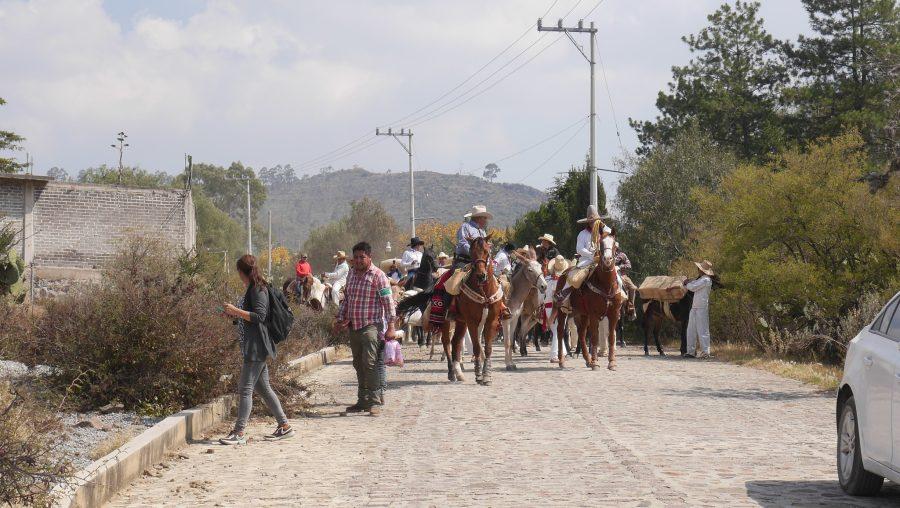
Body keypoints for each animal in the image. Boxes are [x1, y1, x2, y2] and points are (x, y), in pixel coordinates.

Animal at [444, 237, 506, 384]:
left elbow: (488, 348)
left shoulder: (491, 321)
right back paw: (451, 373)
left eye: (487, 251)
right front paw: (478, 374)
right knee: (447, 343)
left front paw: (487, 375)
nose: (481, 275)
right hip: (446, 321)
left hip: (461, 322)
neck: (484, 292)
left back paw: (459, 373)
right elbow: (477, 347)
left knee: (456, 342)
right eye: (471, 252)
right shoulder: (472, 322)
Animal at [568, 232, 624, 372]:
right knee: (580, 335)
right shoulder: (594, 315)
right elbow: (594, 337)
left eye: (614, 245)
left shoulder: (614, 314)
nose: (608, 259)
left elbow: (611, 337)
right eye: (601, 244)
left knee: (582, 334)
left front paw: (612, 363)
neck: (606, 285)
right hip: (576, 315)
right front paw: (595, 363)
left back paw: (587, 359)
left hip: (584, 315)